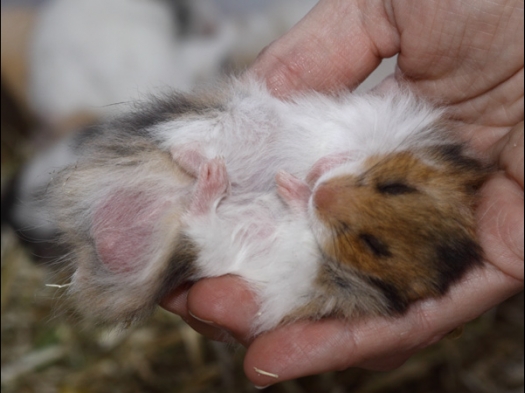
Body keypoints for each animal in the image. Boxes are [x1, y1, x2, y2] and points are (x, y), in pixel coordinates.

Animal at [47, 78, 490, 332]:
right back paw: (208, 167)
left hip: (211, 244)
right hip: (245, 120)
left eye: (373, 246)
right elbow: (350, 148)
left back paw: (215, 179)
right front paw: (312, 172)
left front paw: (296, 186)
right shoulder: (377, 125)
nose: (321, 194)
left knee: (197, 213)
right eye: (395, 187)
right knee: (182, 146)